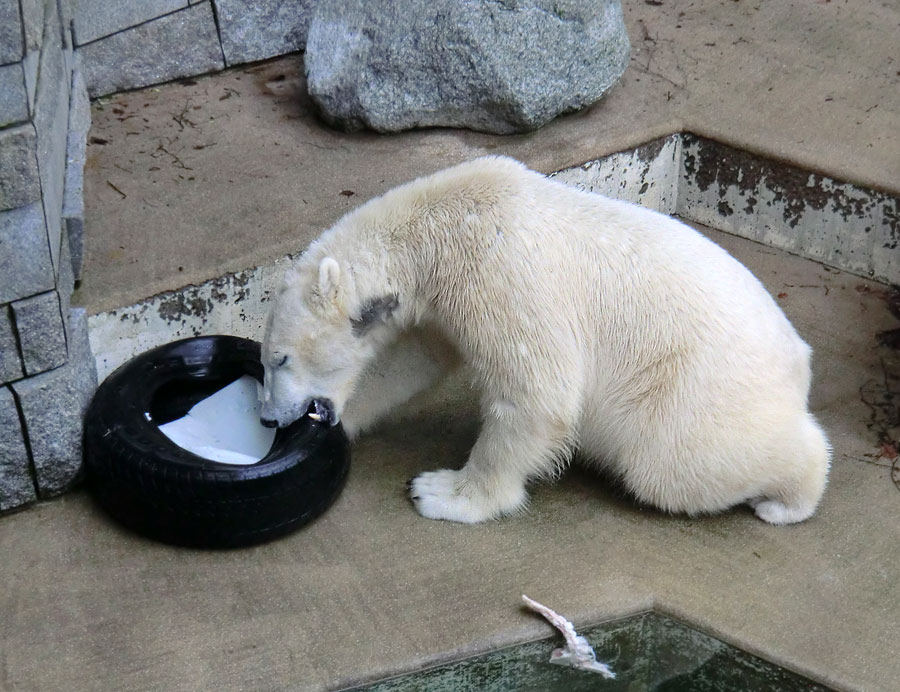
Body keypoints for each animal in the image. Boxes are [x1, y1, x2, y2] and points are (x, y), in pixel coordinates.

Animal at [258, 155, 828, 524]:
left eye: (279, 358)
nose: (268, 418)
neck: (438, 227)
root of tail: (798, 362)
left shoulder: (500, 274)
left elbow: (535, 392)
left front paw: (443, 493)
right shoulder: (440, 305)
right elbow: (410, 362)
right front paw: (346, 419)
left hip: (693, 389)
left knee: (672, 467)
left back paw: (787, 498)